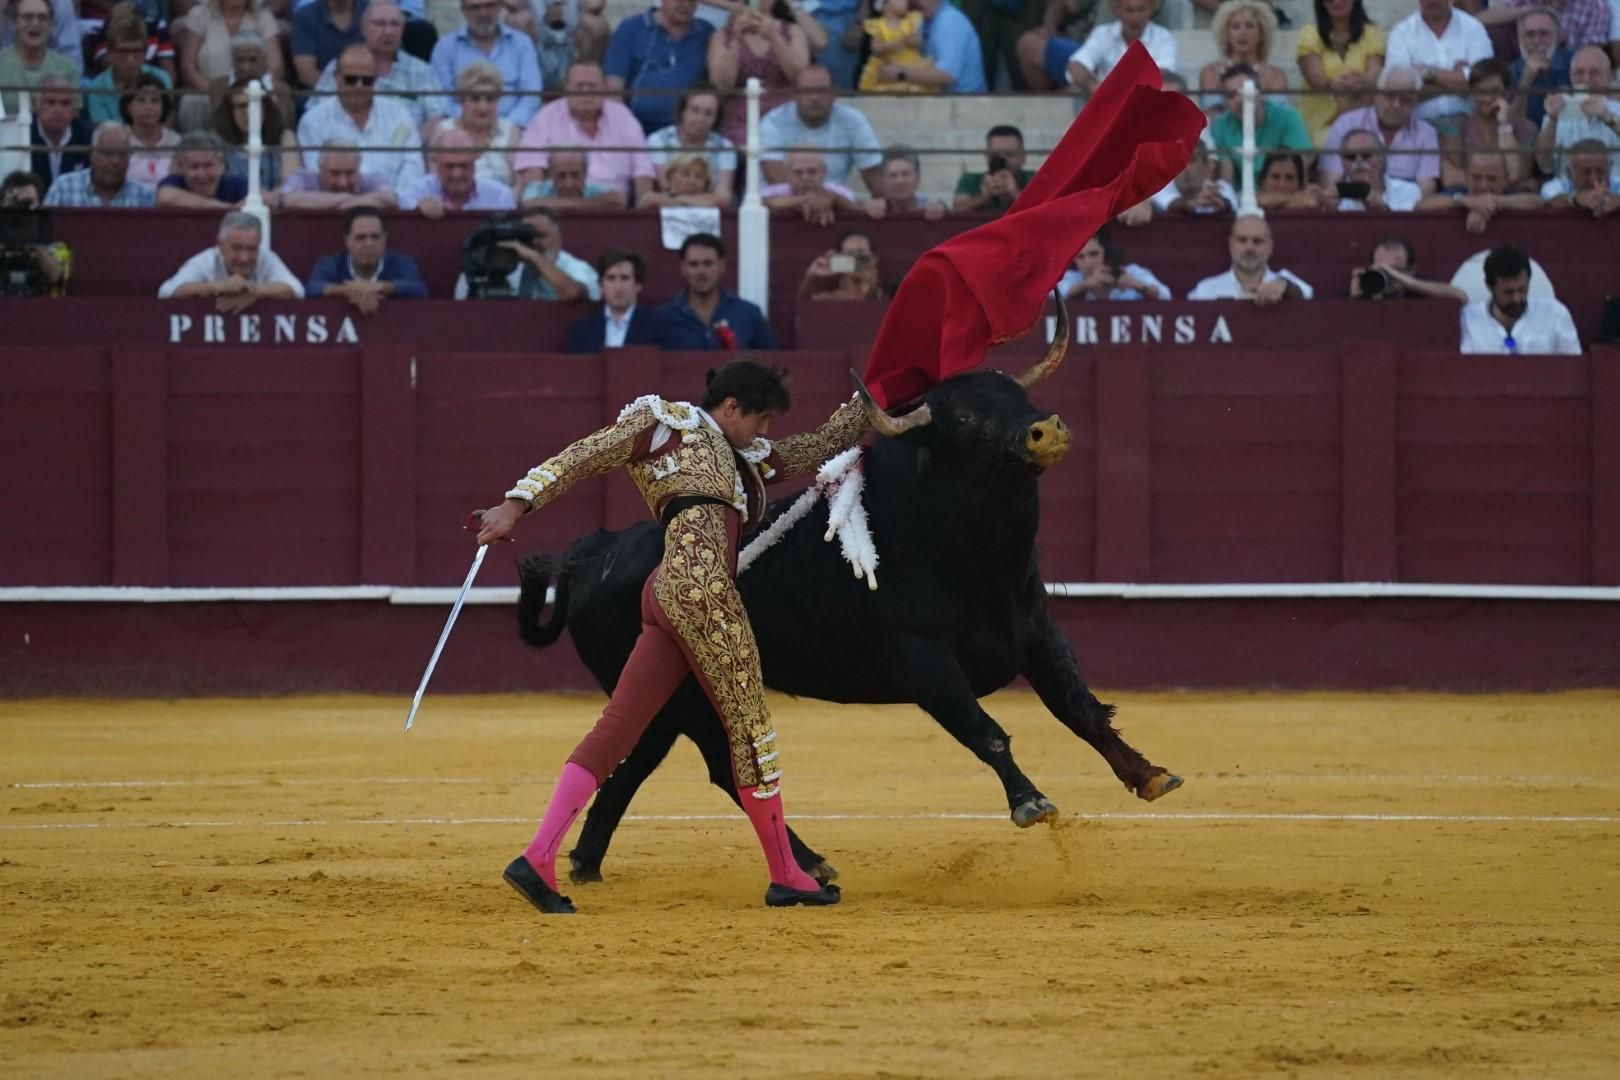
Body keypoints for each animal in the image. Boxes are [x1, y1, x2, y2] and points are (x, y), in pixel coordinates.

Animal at [515, 365, 1179, 887]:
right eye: (966, 418)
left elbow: (1080, 708)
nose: (1047, 429)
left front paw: (1148, 774)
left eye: (1016, 392)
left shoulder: (1037, 633)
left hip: (664, 698)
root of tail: (595, 553)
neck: (964, 547)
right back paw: (806, 865)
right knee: (720, 767)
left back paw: (584, 863)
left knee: (630, 762)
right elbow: (986, 731)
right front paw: (1031, 801)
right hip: (690, 696)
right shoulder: (924, 661)